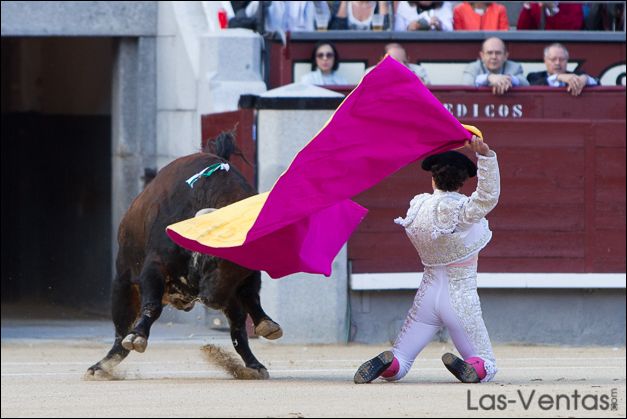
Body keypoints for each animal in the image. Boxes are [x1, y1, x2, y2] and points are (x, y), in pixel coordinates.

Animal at [86, 133, 282, 378]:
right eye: (213, 258)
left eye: (243, 268)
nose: (214, 301)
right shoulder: (155, 266)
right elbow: (152, 306)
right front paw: (138, 337)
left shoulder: (247, 279)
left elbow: (250, 297)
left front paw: (267, 324)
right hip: (123, 284)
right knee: (120, 335)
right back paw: (101, 366)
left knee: (238, 331)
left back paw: (254, 365)